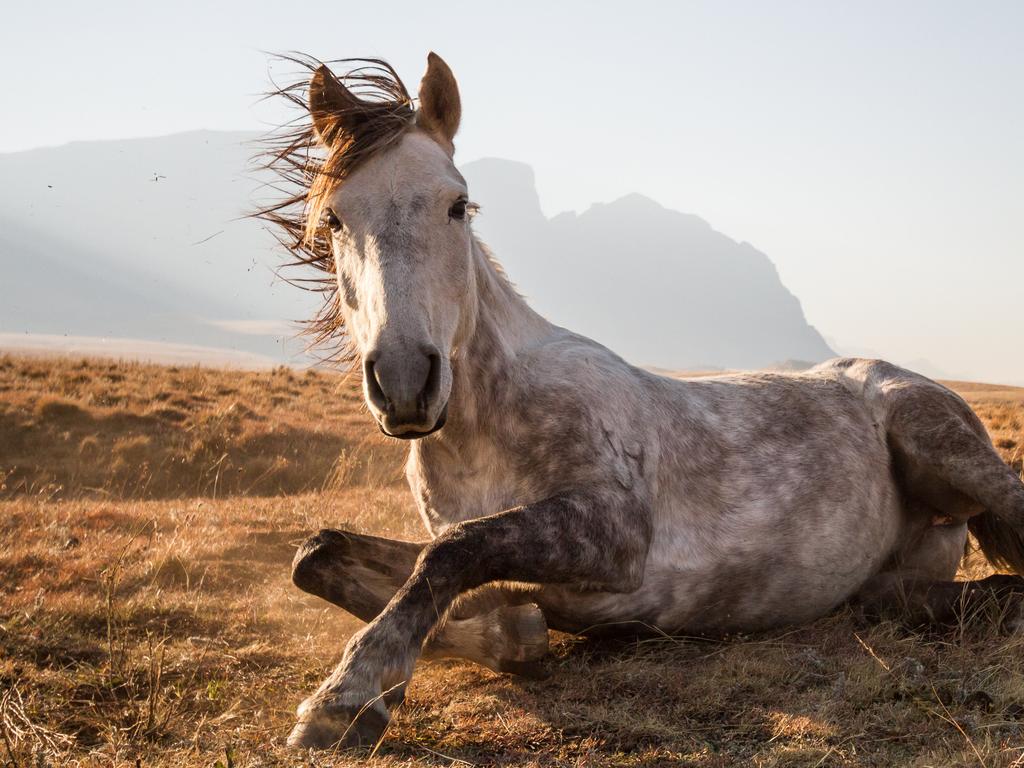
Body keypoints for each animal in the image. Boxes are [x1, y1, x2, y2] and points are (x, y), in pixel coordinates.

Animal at [253, 51, 1024, 749]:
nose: (407, 380)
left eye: (457, 205)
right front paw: (504, 633)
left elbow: (452, 552)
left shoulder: (613, 533)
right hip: (893, 571)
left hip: (940, 442)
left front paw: (347, 695)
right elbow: (324, 554)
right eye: (334, 220)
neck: (486, 426)